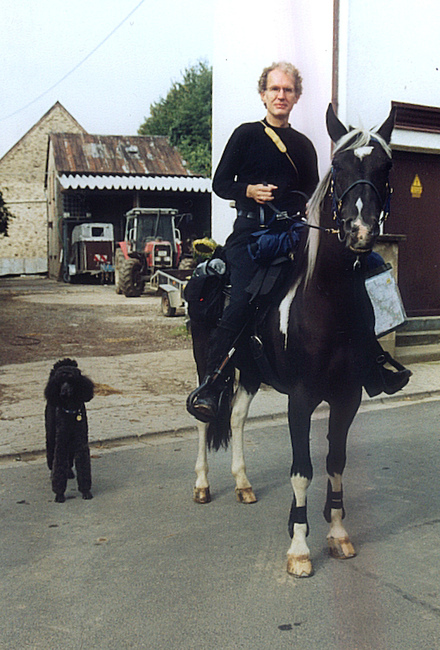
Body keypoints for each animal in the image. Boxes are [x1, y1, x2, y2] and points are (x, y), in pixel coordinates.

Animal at [189, 104, 396, 576]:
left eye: (385, 167)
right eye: (338, 165)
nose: (359, 230)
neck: (328, 300)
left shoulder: (346, 395)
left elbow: (335, 462)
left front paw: (337, 533)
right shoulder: (301, 397)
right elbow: (302, 469)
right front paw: (300, 547)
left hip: (248, 370)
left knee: (236, 417)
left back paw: (243, 483)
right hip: (206, 358)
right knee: (205, 416)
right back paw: (203, 484)